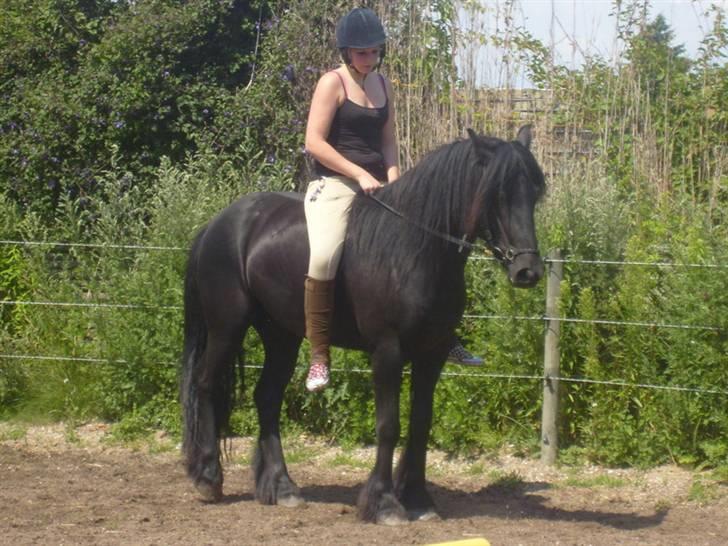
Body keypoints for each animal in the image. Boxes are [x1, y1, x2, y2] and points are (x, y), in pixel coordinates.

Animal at [180, 126, 546, 524]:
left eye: (534, 193)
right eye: (497, 192)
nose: (527, 271)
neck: (413, 249)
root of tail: (218, 223)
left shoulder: (431, 355)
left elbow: (421, 423)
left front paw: (418, 498)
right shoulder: (387, 351)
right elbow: (388, 425)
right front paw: (384, 503)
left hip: (281, 336)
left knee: (267, 397)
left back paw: (281, 486)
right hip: (227, 326)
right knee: (205, 384)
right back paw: (208, 478)